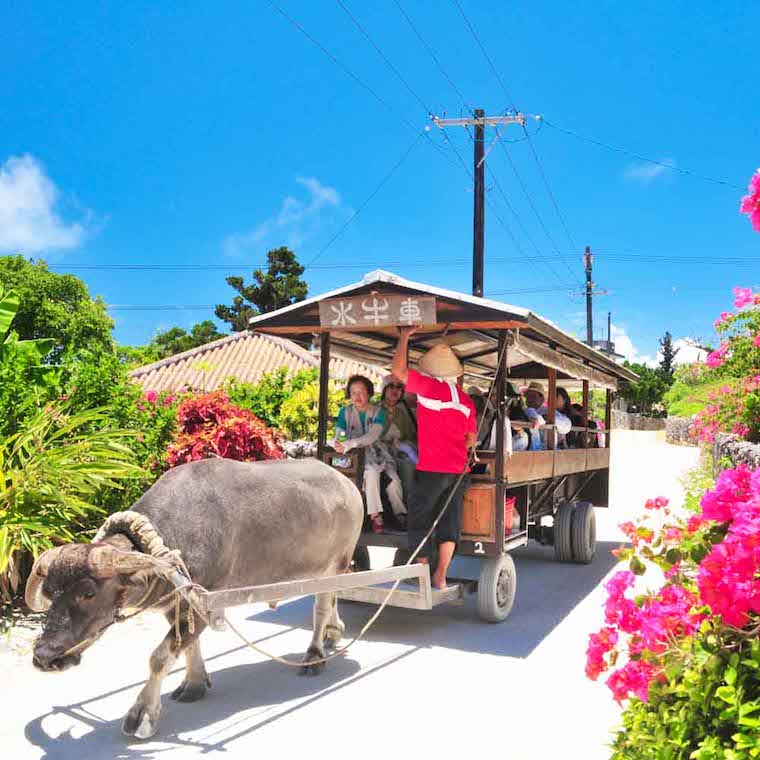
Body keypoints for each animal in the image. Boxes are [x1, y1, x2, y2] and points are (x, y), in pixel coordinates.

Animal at [25, 458, 364, 736]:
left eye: (88, 593)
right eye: (50, 591)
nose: (44, 656)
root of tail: (349, 486)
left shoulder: (205, 602)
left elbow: (160, 658)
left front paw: (142, 714)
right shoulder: (177, 604)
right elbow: (188, 647)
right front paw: (195, 683)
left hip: (333, 566)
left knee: (321, 608)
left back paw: (315, 655)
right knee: (332, 601)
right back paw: (334, 633)